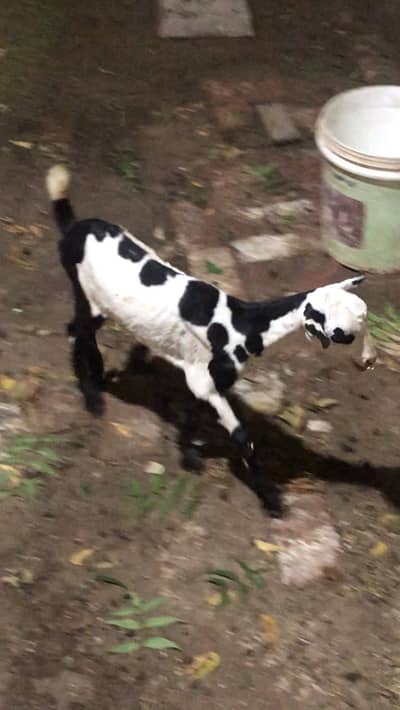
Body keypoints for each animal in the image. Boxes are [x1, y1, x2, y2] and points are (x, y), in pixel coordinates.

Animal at [46, 164, 376, 517]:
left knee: (76, 329)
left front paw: (189, 455)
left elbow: (192, 412)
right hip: (87, 295)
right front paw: (271, 499)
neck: (241, 325)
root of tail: (74, 228)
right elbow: (243, 436)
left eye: (363, 317)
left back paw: (93, 380)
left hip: (94, 301)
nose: (368, 359)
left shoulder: (201, 377)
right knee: (79, 330)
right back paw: (92, 396)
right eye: (343, 331)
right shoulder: (208, 381)